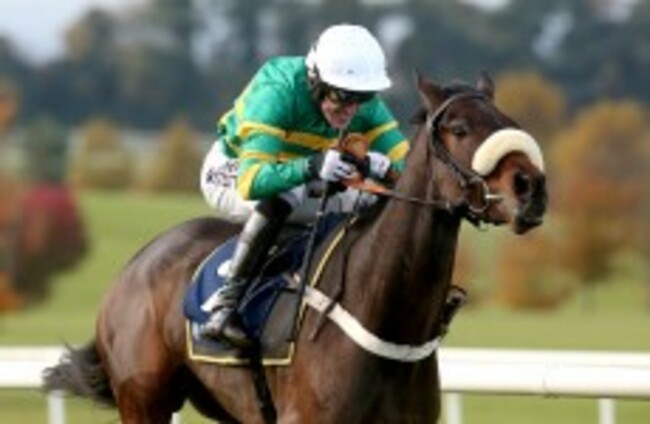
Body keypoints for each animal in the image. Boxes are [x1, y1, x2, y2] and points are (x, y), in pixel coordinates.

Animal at [44, 72, 547, 423]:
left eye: (511, 124)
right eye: (459, 129)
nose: (532, 188)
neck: (382, 311)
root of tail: (135, 262)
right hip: (144, 400)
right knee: (275, 197)